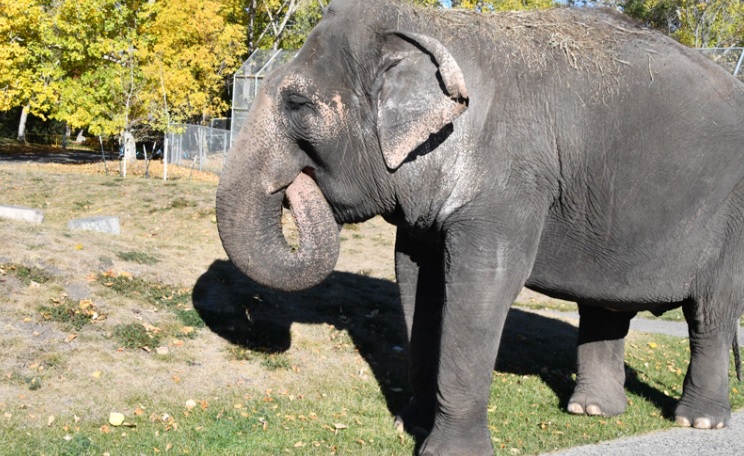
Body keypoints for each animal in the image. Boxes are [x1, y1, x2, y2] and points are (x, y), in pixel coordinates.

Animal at [215, 0, 744, 453]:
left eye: (298, 104)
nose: (295, 182)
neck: (428, 25)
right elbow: (416, 280)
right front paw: (409, 425)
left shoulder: (510, 182)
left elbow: (484, 282)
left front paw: (447, 451)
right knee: (606, 307)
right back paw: (591, 412)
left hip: (732, 219)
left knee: (712, 313)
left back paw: (698, 421)